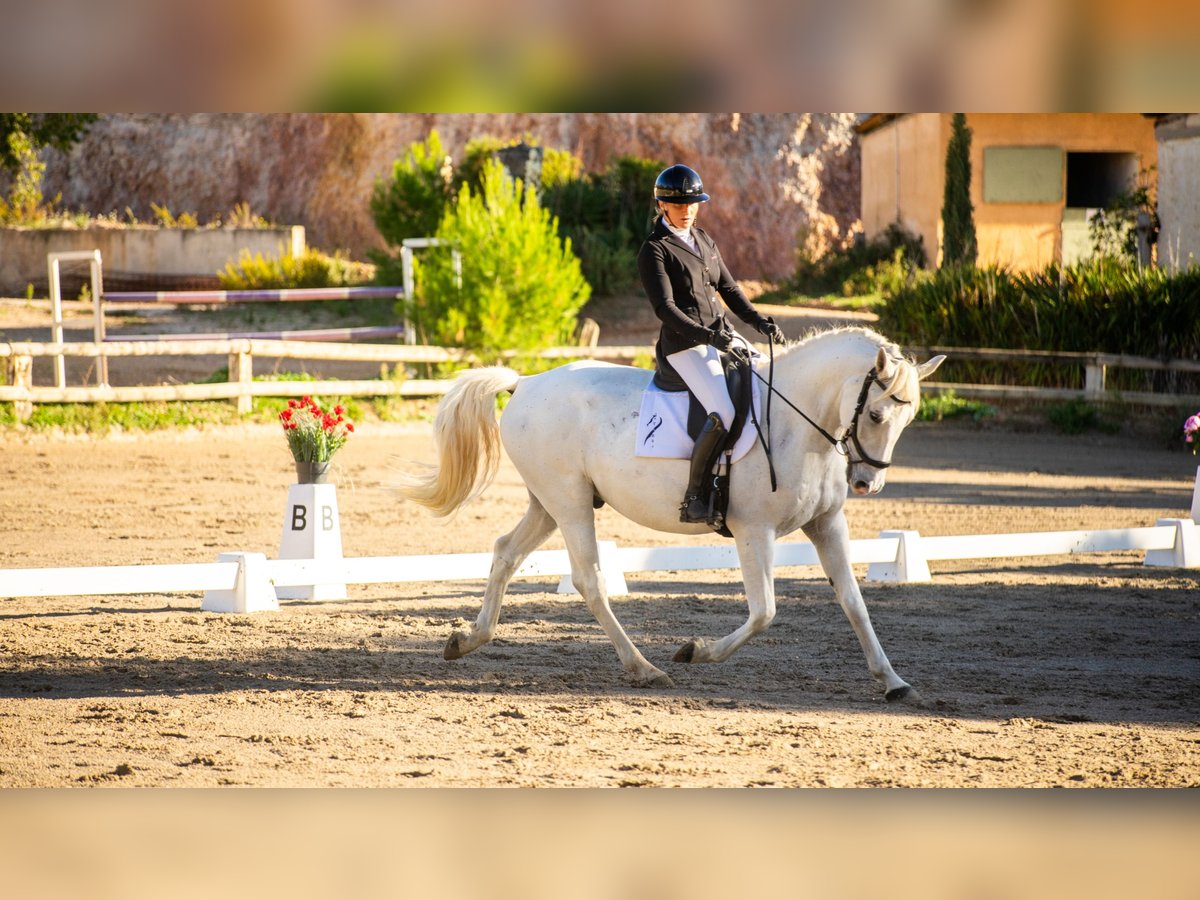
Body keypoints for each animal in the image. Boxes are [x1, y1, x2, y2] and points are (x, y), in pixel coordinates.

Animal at [398, 328, 940, 700]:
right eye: (875, 414)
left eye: (909, 418)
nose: (867, 483)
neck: (796, 422)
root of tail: (525, 382)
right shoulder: (754, 530)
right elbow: (764, 611)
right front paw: (694, 651)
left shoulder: (826, 526)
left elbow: (854, 604)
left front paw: (893, 681)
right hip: (568, 503)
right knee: (589, 579)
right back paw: (644, 668)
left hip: (547, 503)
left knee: (505, 553)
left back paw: (467, 640)